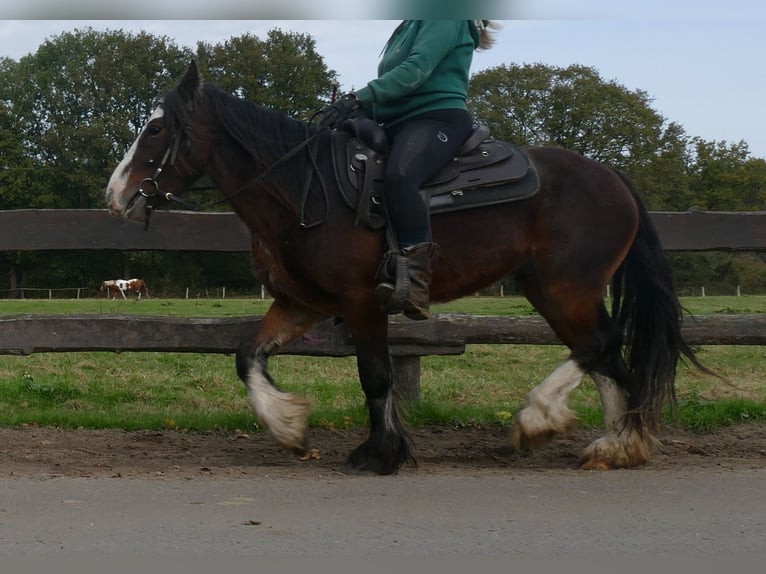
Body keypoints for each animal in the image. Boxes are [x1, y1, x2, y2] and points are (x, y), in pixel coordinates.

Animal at [103, 62, 712, 476]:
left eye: (156, 130)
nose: (116, 195)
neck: (305, 187)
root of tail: (613, 178)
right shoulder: (303, 303)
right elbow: (247, 355)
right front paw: (288, 426)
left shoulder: (360, 301)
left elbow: (376, 376)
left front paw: (381, 452)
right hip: (550, 289)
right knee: (604, 353)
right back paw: (617, 445)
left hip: (568, 286)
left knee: (598, 346)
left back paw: (542, 421)